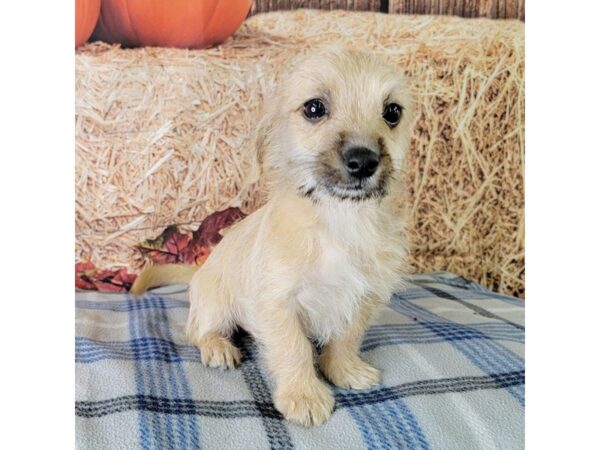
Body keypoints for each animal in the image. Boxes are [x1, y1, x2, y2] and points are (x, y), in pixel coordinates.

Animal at [131, 49, 414, 426]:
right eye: (314, 108)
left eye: (392, 112)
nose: (363, 161)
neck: (339, 220)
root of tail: (199, 271)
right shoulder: (277, 303)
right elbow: (294, 348)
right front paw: (303, 395)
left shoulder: (365, 297)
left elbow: (346, 338)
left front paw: (346, 371)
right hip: (215, 306)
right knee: (198, 331)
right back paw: (218, 347)